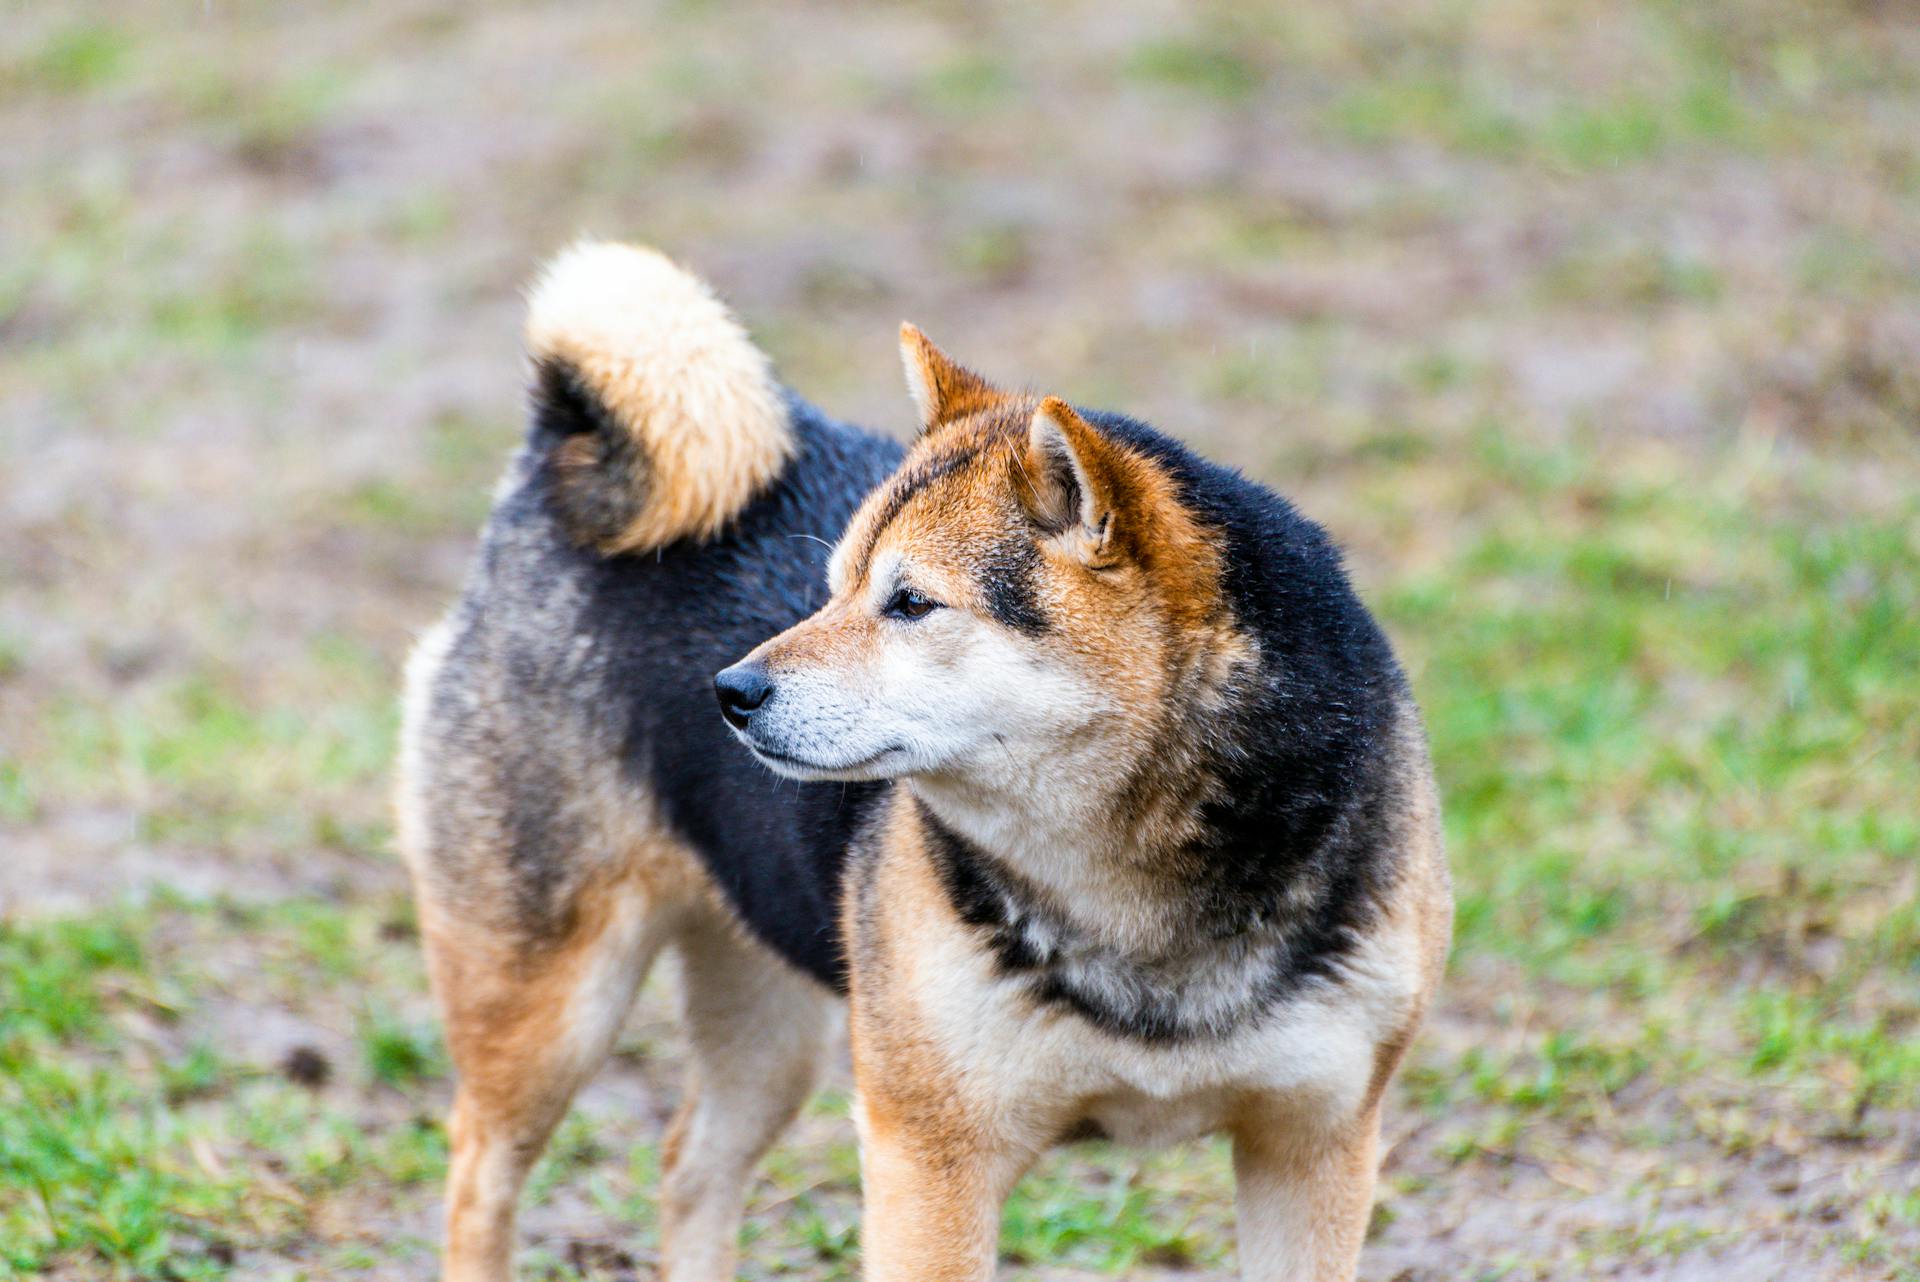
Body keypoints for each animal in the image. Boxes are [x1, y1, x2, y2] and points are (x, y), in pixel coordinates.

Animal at [405, 242, 1451, 1282]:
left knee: (690, 1166)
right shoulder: (929, 1155)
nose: (730, 693)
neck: (1135, 892)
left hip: (774, 1018)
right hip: (548, 1015)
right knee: (478, 1178)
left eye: (909, 603)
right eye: (832, 591)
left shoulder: (1315, 1143)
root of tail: (559, 449)